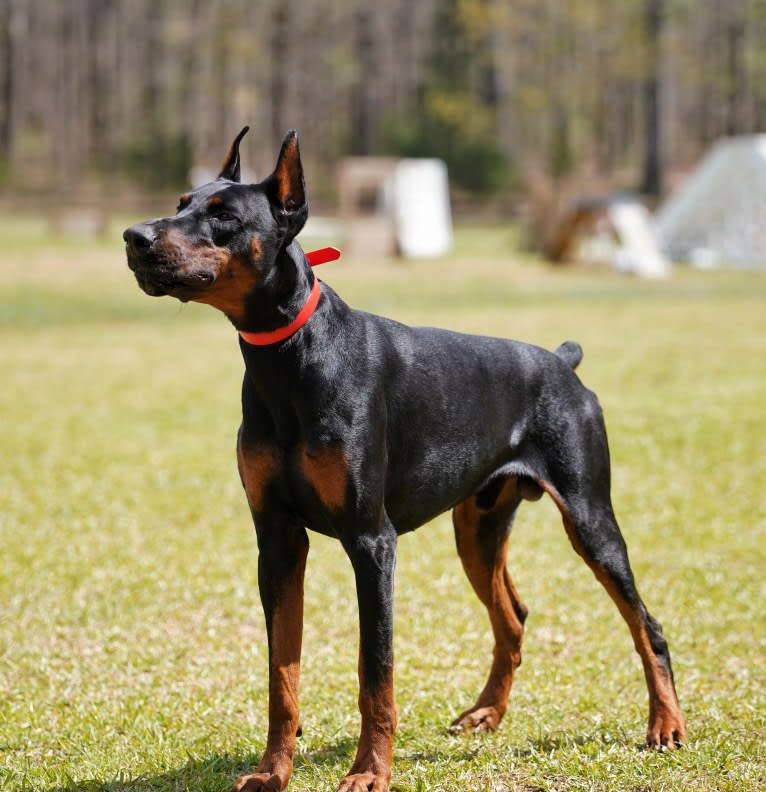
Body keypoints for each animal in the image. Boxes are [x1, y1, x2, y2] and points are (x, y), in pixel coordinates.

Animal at [123, 127, 688, 788]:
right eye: (182, 201)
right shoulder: (277, 540)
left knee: (646, 624)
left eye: (224, 216)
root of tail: (561, 361)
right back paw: (487, 712)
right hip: (477, 528)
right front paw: (272, 771)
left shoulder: (371, 542)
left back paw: (665, 725)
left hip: (590, 519)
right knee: (513, 617)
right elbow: (281, 674)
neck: (289, 357)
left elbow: (376, 670)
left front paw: (370, 771)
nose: (135, 237)